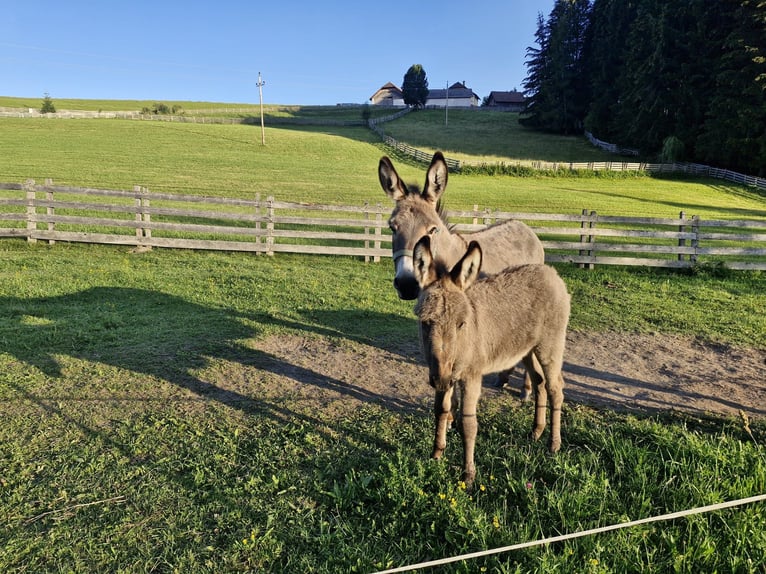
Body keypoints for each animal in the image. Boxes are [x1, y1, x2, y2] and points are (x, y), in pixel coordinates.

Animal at [378, 151, 545, 399]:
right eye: (392, 227)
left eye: (432, 230)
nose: (407, 284)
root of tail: (523, 225)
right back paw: (503, 378)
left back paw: (525, 390)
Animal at [413, 236, 570, 486]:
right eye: (425, 322)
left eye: (461, 324)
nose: (442, 380)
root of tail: (550, 272)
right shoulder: (440, 371)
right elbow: (440, 409)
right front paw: (437, 454)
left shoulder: (470, 376)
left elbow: (468, 424)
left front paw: (468, 475)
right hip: (526, 350)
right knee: (540, 382)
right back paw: (536, 432)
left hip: (549, 346)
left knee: (556, 388)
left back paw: (553, 445)